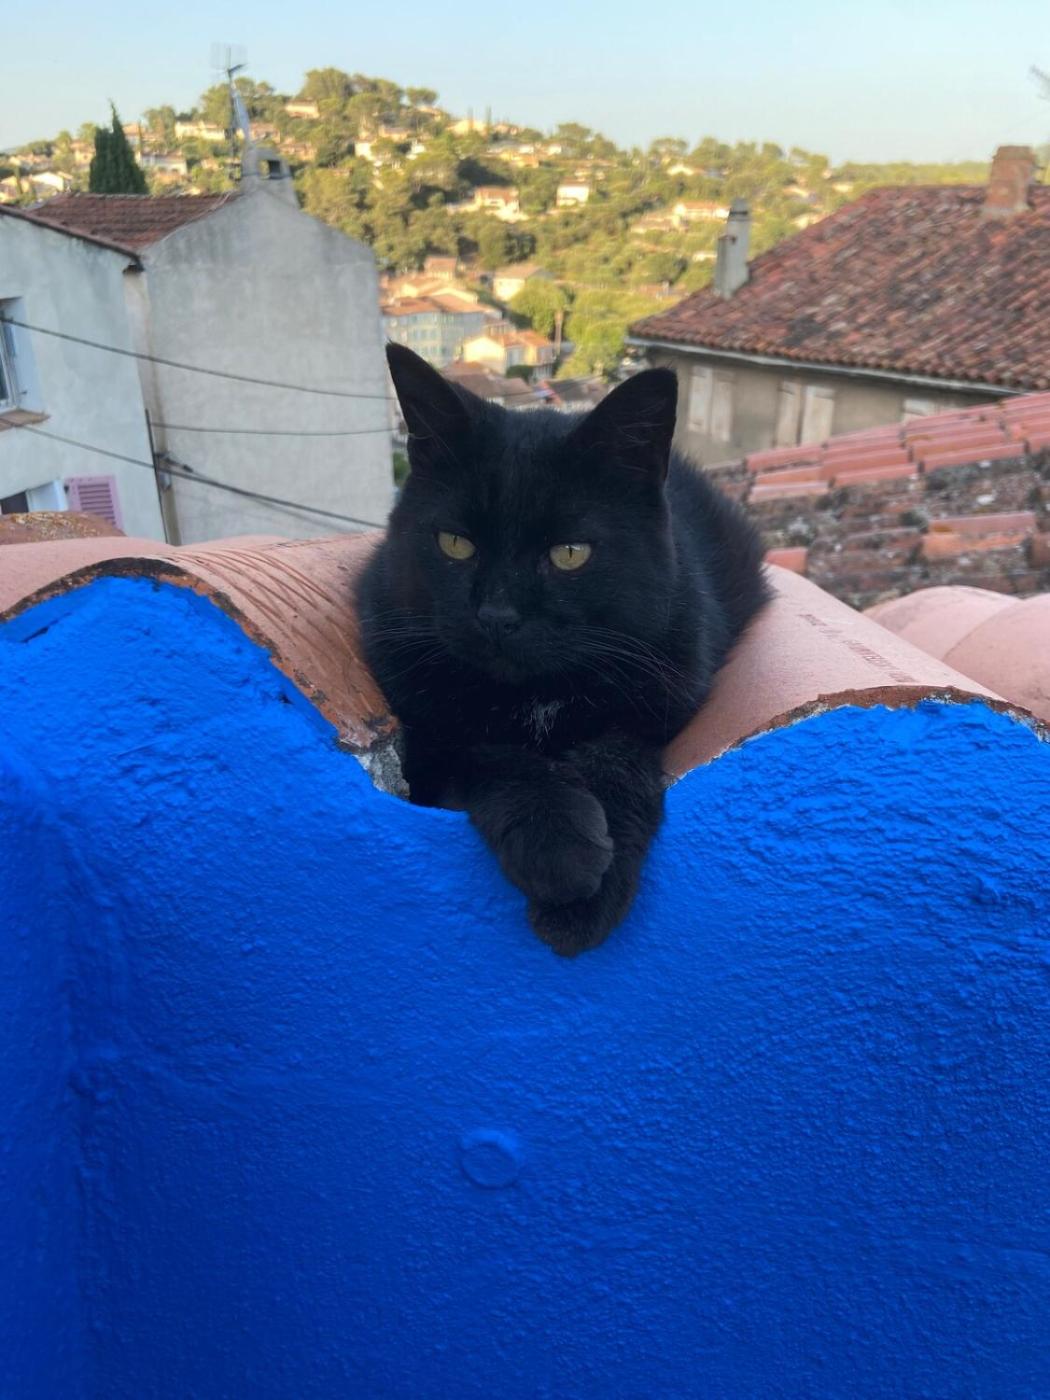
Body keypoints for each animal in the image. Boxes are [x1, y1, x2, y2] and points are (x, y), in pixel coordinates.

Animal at [357, 344, 770, 956]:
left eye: (570, 553)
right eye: (455, 544)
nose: (497, 617)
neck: (535, 694)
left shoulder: (658, 701)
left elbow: (616, 761)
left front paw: (586, 899)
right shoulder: (422, 735)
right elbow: (483, 749)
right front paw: (558, 845)